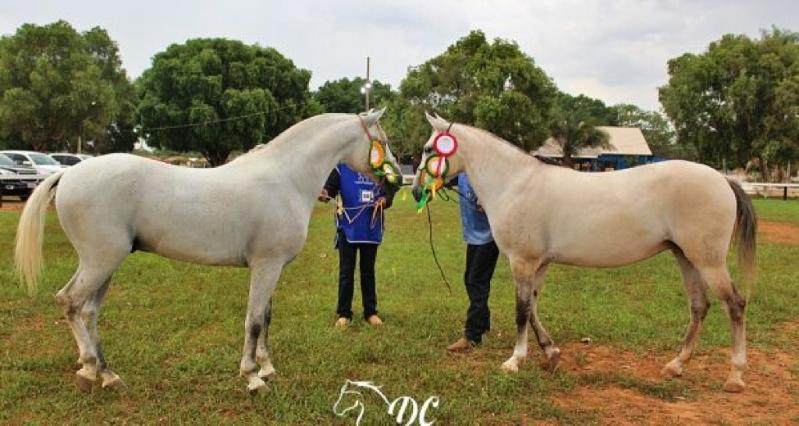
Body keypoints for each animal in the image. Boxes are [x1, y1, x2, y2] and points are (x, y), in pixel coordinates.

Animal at [12, 110, 400, 392]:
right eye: (382, 140)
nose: (394, 180)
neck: (285, 179)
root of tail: (70, 173)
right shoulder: (266, 265)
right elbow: (254, 320)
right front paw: (252, 377)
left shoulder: (272, 268)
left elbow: (266, 318)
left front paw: (267, 368)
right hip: (101, 260)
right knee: (71, 302)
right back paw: (97, 370)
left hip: (104, 263)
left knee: (88, 311)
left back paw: (101, 372)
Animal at [416, 113, 760, 392]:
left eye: (429, 149)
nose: (417, 190)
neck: (515, 183)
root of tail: (723, 179)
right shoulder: (539, 264)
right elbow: (533, 308)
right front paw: (551, 353)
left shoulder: (522, 262)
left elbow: (521, 310)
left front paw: (515, 360)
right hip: (685, 257)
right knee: (700, 306)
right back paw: (676, 365)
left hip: (708, 261)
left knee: (735, 305)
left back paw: (735, 376)